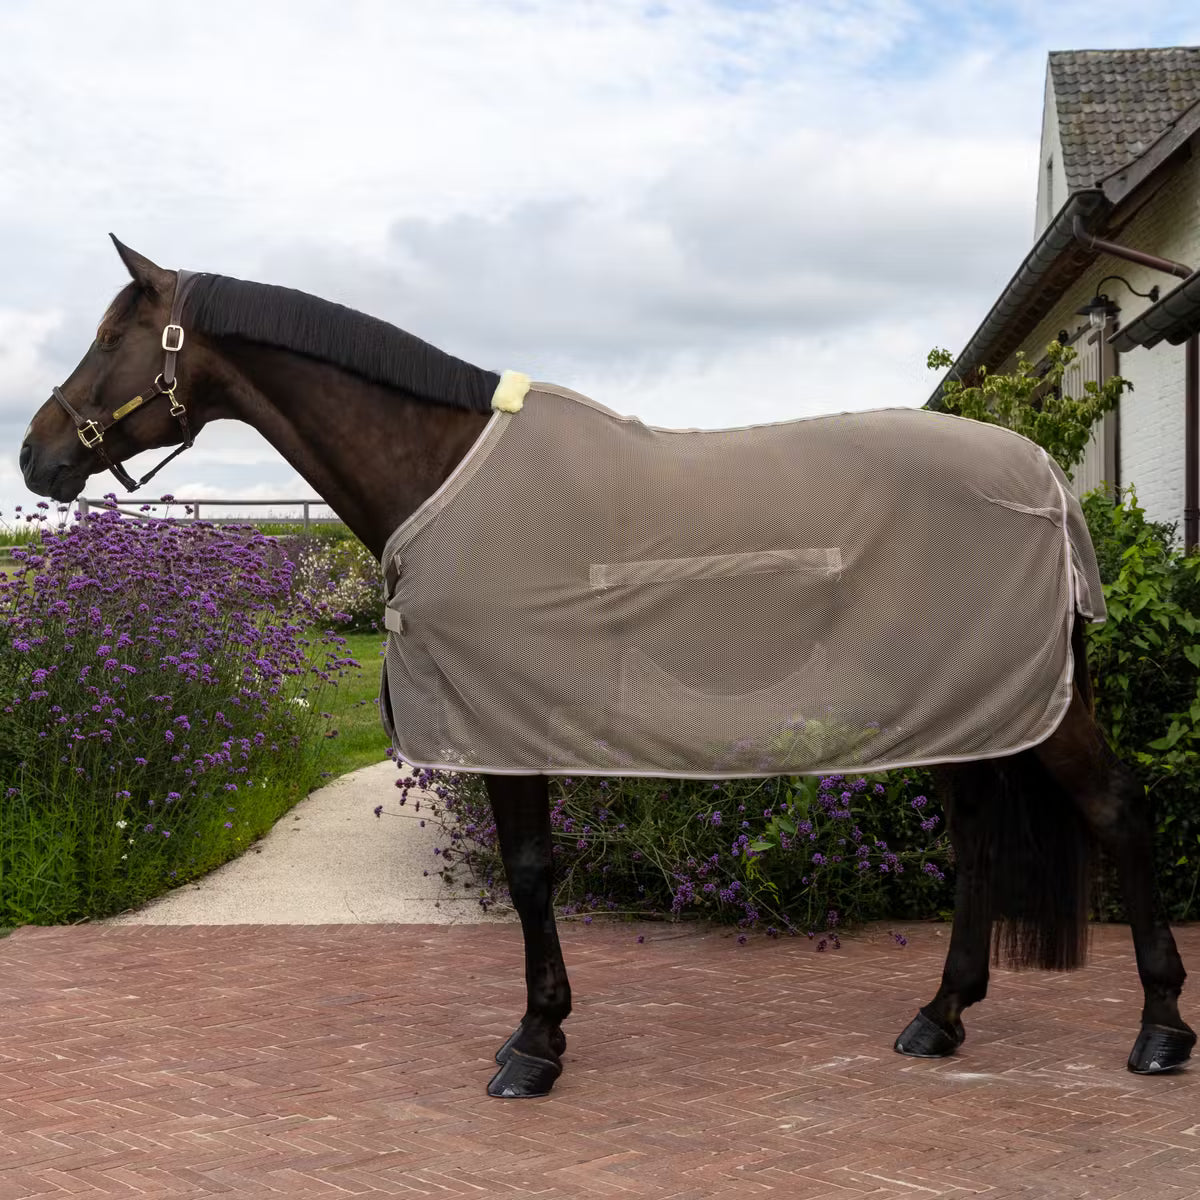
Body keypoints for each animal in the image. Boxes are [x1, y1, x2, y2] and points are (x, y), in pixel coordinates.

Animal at [18, 237, 1195, 1098]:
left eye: (115, 336)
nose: (36, 452)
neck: (443, 469)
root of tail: (1046, 478)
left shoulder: (501, 716)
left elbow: (531, 873)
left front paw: (534, 1045)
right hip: (967, 698)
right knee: (978, 835)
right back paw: (940, 1017)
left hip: (1026, 703)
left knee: (1119, 811)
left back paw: (1158, 1030)